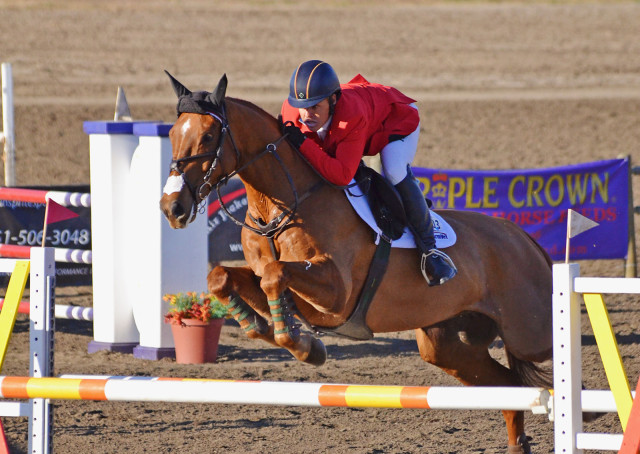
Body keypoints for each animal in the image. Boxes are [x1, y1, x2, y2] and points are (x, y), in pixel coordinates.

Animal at [159, 72, 552, 452]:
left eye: (209, 135)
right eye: (173, 134)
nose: (172, 208)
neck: (279, 208)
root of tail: (526, 240)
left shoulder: (336, 294)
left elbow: (274, 275)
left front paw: (302, 345)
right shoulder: (285, 284)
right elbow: (224, 277)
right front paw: (268, 329)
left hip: (530, 333)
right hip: (448, 346)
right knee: (509, 387)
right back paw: (518, 445)